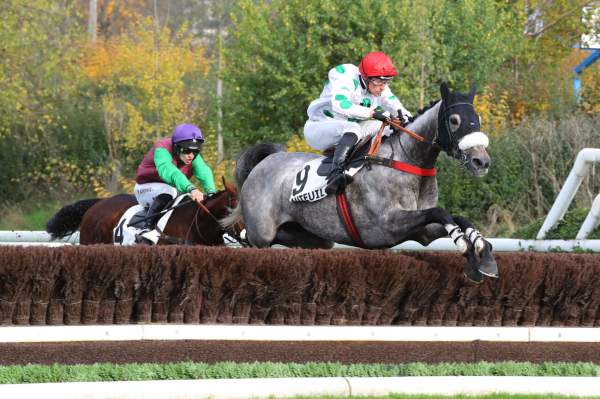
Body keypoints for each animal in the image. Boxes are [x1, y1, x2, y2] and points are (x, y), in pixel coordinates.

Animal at [224, 82, 496, 282]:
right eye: (454, 120)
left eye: (478, 119)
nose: (481, 161)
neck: (406, 160)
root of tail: (265, 162)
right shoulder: (387, 225)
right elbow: (441, 212)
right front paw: (464, 245)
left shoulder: (423, 232)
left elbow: (458, 218)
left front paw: (482, 255)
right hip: (263, 233)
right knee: (256, 240)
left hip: (314, 237)